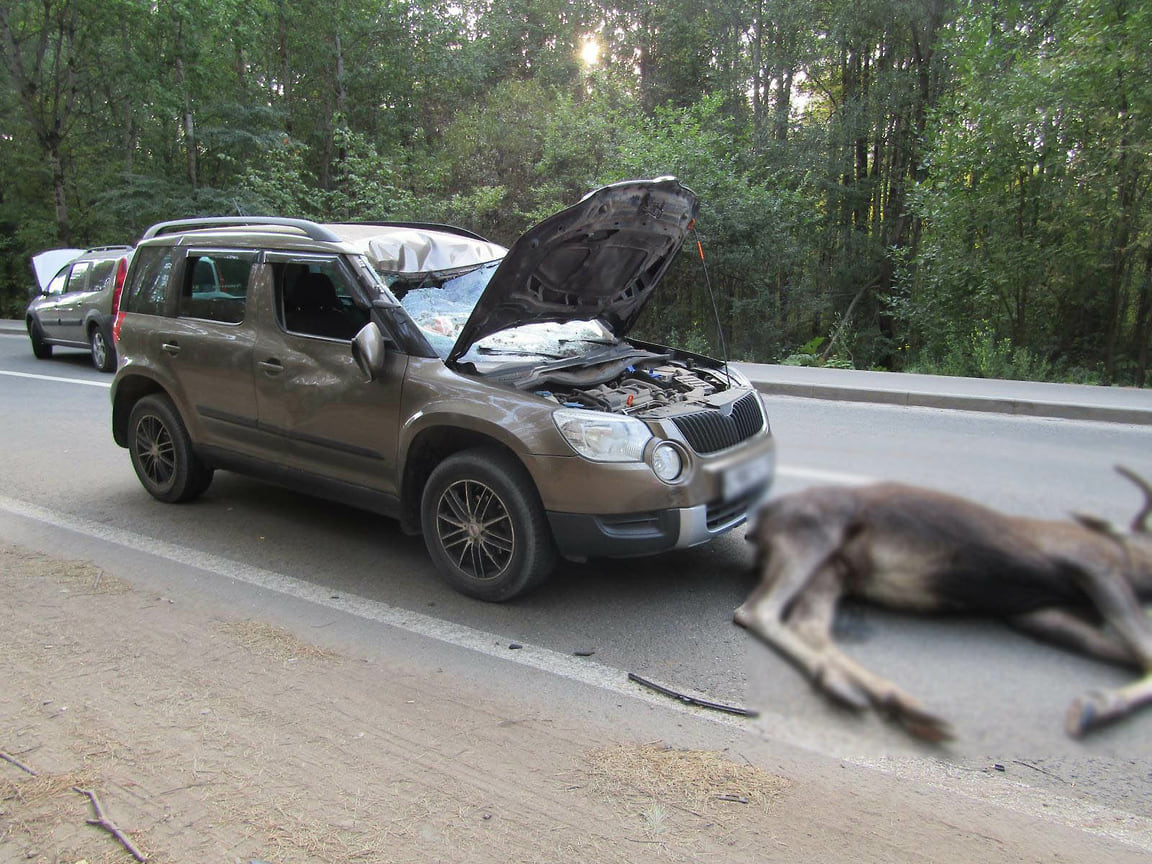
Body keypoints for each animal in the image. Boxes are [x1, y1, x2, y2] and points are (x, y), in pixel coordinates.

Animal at [737, 470, 1152, 741]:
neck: (1132, 565)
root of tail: (759, 524)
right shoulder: (1092, 564)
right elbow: (1145, 650)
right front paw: (1095, 706)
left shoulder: (1036, 614)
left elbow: (1134, 653)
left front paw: (1095, 704)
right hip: (816, 534)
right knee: (758, 611)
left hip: (835, 569)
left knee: (808, 624)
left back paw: (882, 696)